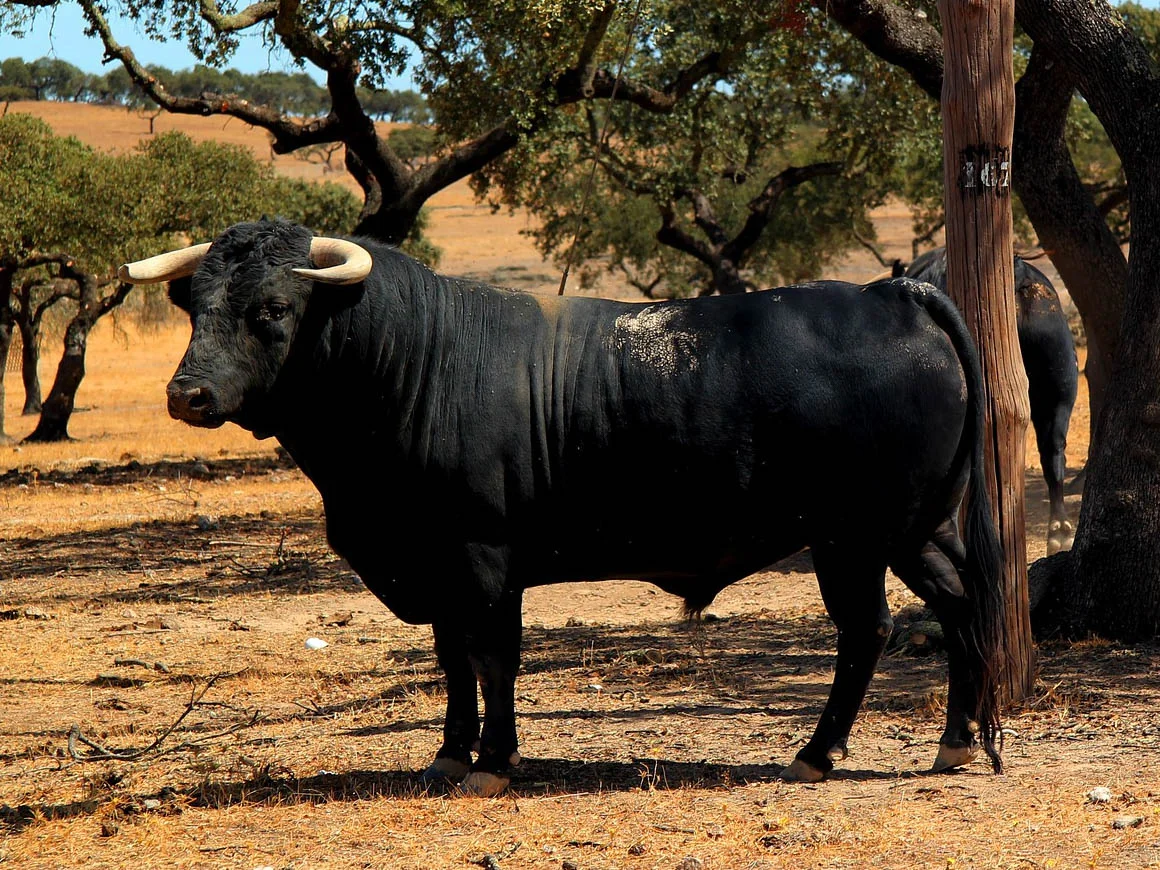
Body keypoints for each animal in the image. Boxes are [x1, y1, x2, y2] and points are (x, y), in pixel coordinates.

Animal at [120, 218, 1005, 796]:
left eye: (271, 309)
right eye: (195, 303)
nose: (187, 394)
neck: (414, 362)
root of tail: (891, 292)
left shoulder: (481, 560)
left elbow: (492, 659)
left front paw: (494, 764)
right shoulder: (438, 567)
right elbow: (452, 661)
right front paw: (451, 755)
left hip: (851, 539)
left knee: (868, 631)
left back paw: (817, 754)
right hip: (918, 530)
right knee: (961, 605)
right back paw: (957, 741)